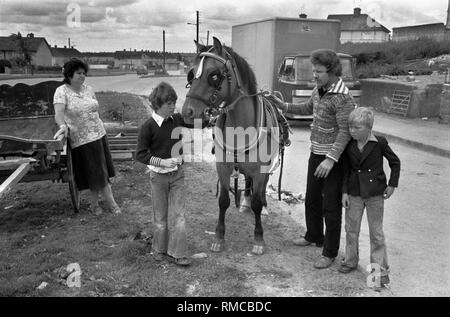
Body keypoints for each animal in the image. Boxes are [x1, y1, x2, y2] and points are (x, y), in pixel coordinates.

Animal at [179, 37, 284, 254]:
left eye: (214, 75)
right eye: (191, 73)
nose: (187, 112)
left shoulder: (260, 170)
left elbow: (258, 203)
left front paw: (258, 238)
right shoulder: (223, 167)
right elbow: (223, 201)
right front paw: (219, 236)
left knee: (261, 190)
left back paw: (263, 206)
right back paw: (244, 202)